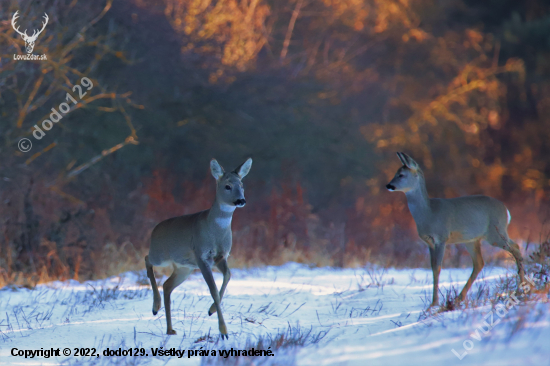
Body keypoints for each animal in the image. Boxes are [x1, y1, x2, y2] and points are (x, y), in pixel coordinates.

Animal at [144, 157, 252, 338]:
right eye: (227, 186)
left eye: (242, 185)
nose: (241, 200)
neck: (215, 231)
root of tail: (154, 229)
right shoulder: (201, 256)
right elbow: (213, 290)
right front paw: (223, 331)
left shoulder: (221, 256)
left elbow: (228, 275)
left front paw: (211, 310)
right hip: (160, 255)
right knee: (147, 259)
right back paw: (155, 307)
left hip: (184, 268)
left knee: (167, 285)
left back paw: (170, 329)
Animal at [386, 153, 528, 308]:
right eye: (396, 172)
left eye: (401, 175)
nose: (388, 185)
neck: (428, 213)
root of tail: (506, 211)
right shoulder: (429, 243)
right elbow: (433, 267)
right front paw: (434, 302)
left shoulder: (441, 238)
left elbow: (437, 268)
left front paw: (434, 303)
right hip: (472, 240)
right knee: (479, 262)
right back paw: (459, 297)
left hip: (495, 232)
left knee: (515, 247)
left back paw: (521, 288)